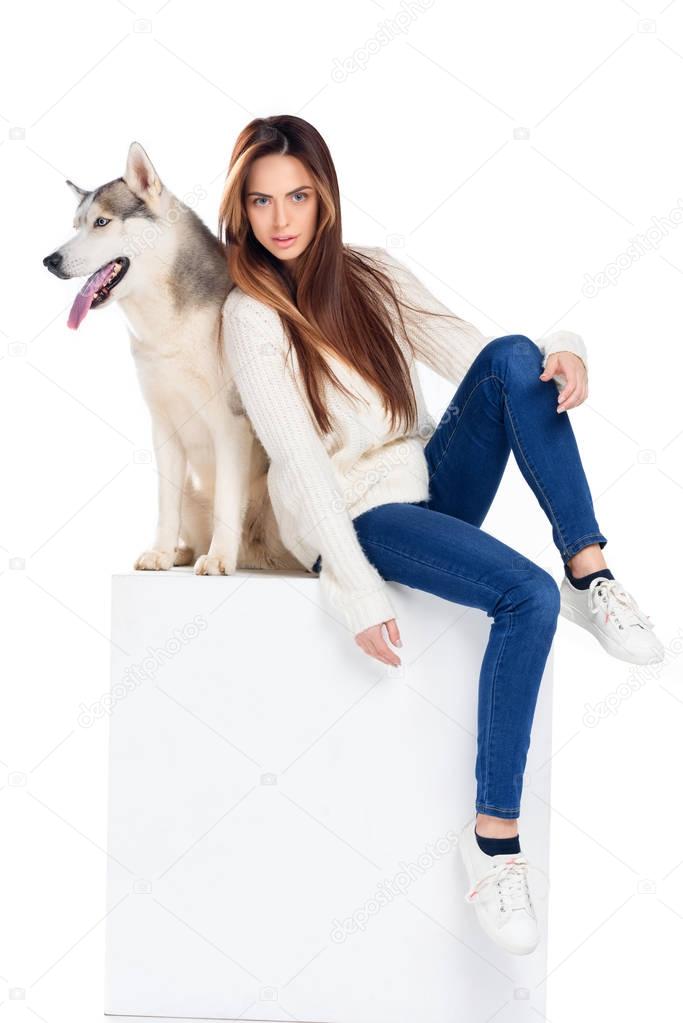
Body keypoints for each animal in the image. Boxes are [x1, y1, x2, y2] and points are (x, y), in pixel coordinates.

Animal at [40, 143, 300, 576]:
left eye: (102, 222)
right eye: (76, 225)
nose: (50, 260)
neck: (167, 330)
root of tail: (257, 556)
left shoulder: (231, 424)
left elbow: (227, 500)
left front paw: (219, 557)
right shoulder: (163, 426)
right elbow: (166, 504)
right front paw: (161, 551)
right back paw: (183, 551)